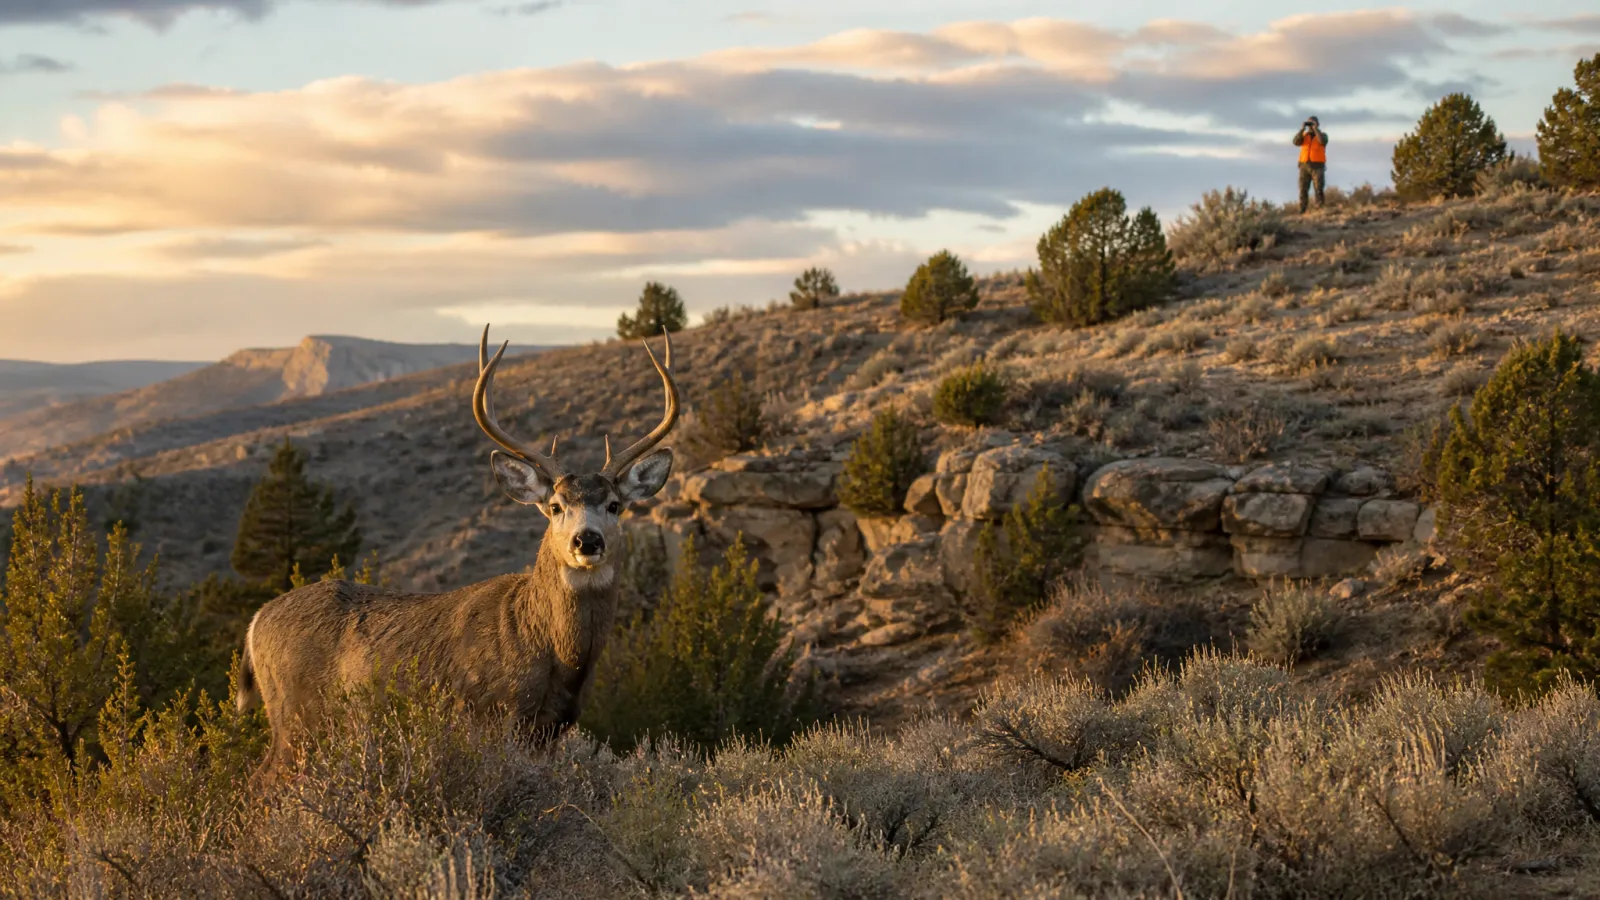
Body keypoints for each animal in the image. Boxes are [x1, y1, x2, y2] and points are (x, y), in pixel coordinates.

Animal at [236, 324, 678, 774]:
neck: (553, 653)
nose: (587, 540)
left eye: (615, 505)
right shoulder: (489, 716)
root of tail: (256, 622)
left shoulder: (550, 731)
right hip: (294, 713)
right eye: (555, 506)